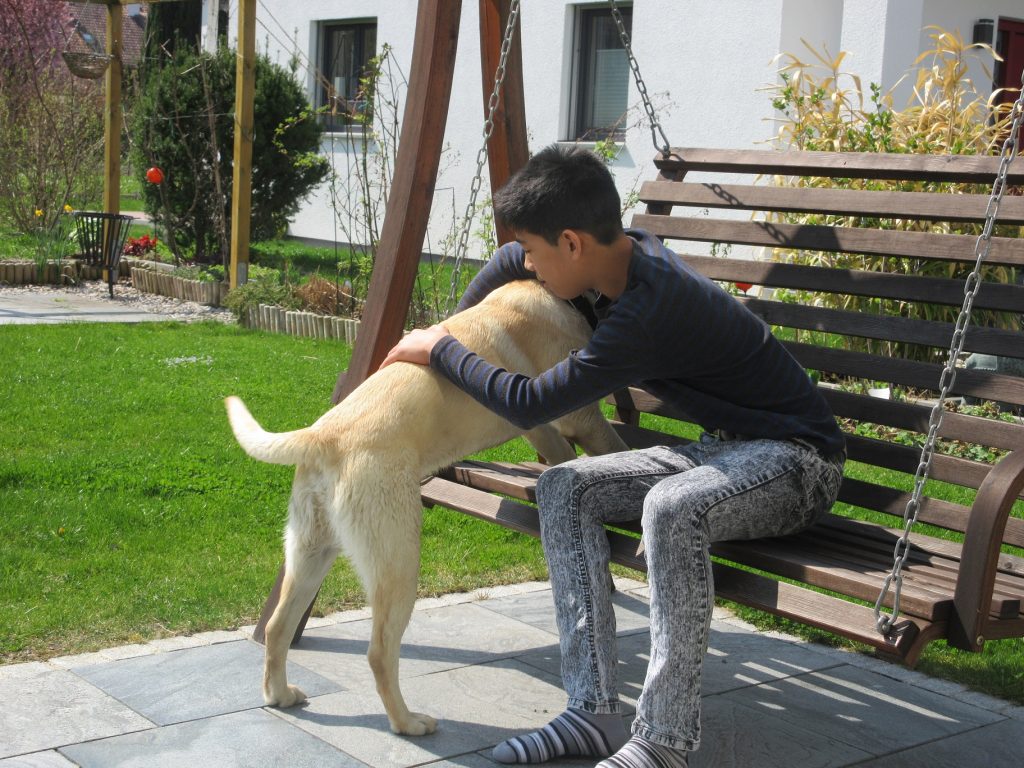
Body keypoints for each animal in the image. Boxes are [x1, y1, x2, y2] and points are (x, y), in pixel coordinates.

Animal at [225, 280, 628, 736]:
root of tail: (321, 436)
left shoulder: (543, 428)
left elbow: (560, 453)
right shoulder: (582, 416)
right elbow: (612, 446)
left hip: (311, 551)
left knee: (279, 626)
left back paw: (280, 694)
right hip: (398, 561)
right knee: (379, 653)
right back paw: (408, 722)